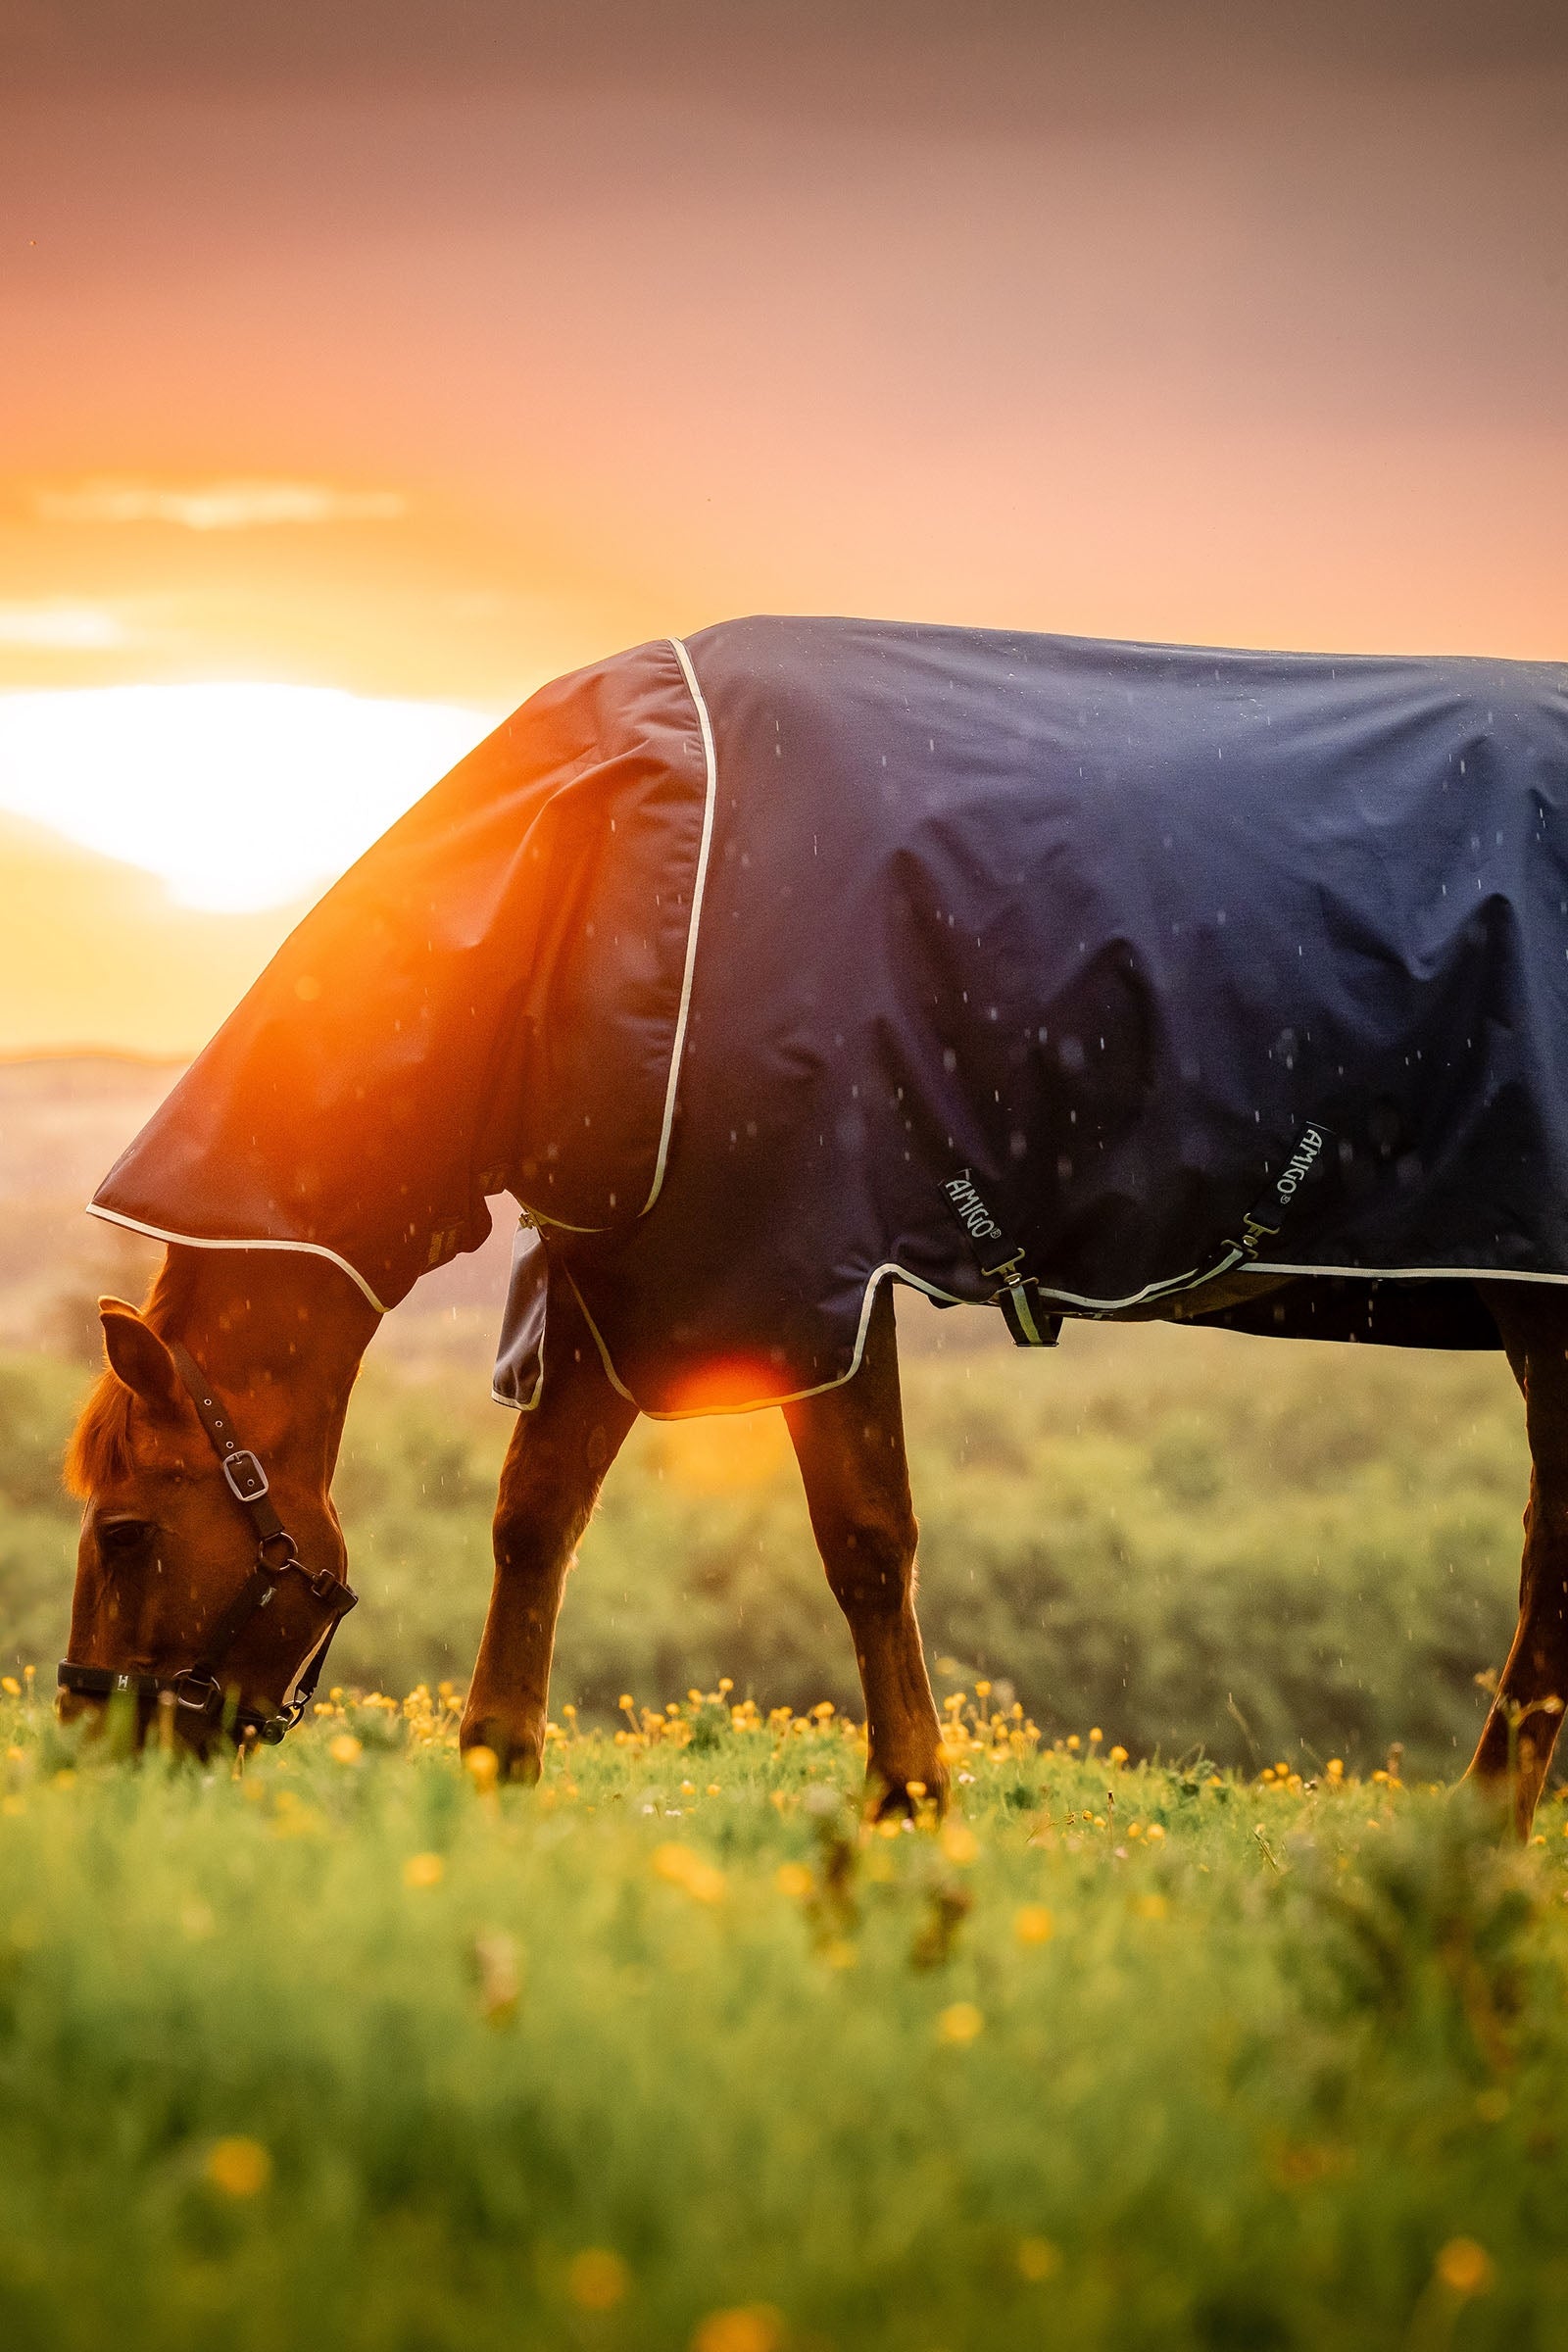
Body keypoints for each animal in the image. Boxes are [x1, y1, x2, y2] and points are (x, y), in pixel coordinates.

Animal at [57, 617, 1568, 1830]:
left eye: (126, 1531)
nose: (89, 1743)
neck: (598, 860)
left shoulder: (797, 1270)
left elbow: (863, 1539)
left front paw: (908, 1795)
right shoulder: (638, 1259)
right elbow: (536, 1514)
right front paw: (499, 1764)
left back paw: (1481, 1832)